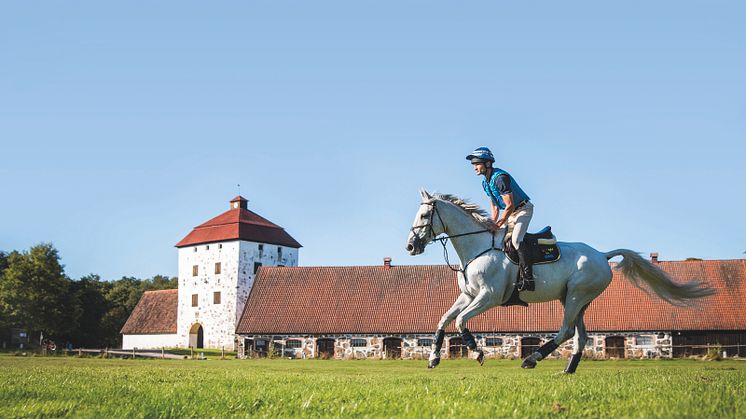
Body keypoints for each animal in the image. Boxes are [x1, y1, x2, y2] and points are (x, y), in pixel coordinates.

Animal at [406, 191, 716, 374]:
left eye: (424, 215)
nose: (410, 246)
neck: (477, 247)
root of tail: (602, 255)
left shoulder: (488, 297)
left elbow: (460, 322)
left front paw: (478, 352)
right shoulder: (469, 296)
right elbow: (444, 319)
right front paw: (433, 357)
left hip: (577, 295)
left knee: (566, 331)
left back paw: (532, 359)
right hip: (575, 299)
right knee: (580, 335)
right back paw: (568, 369)